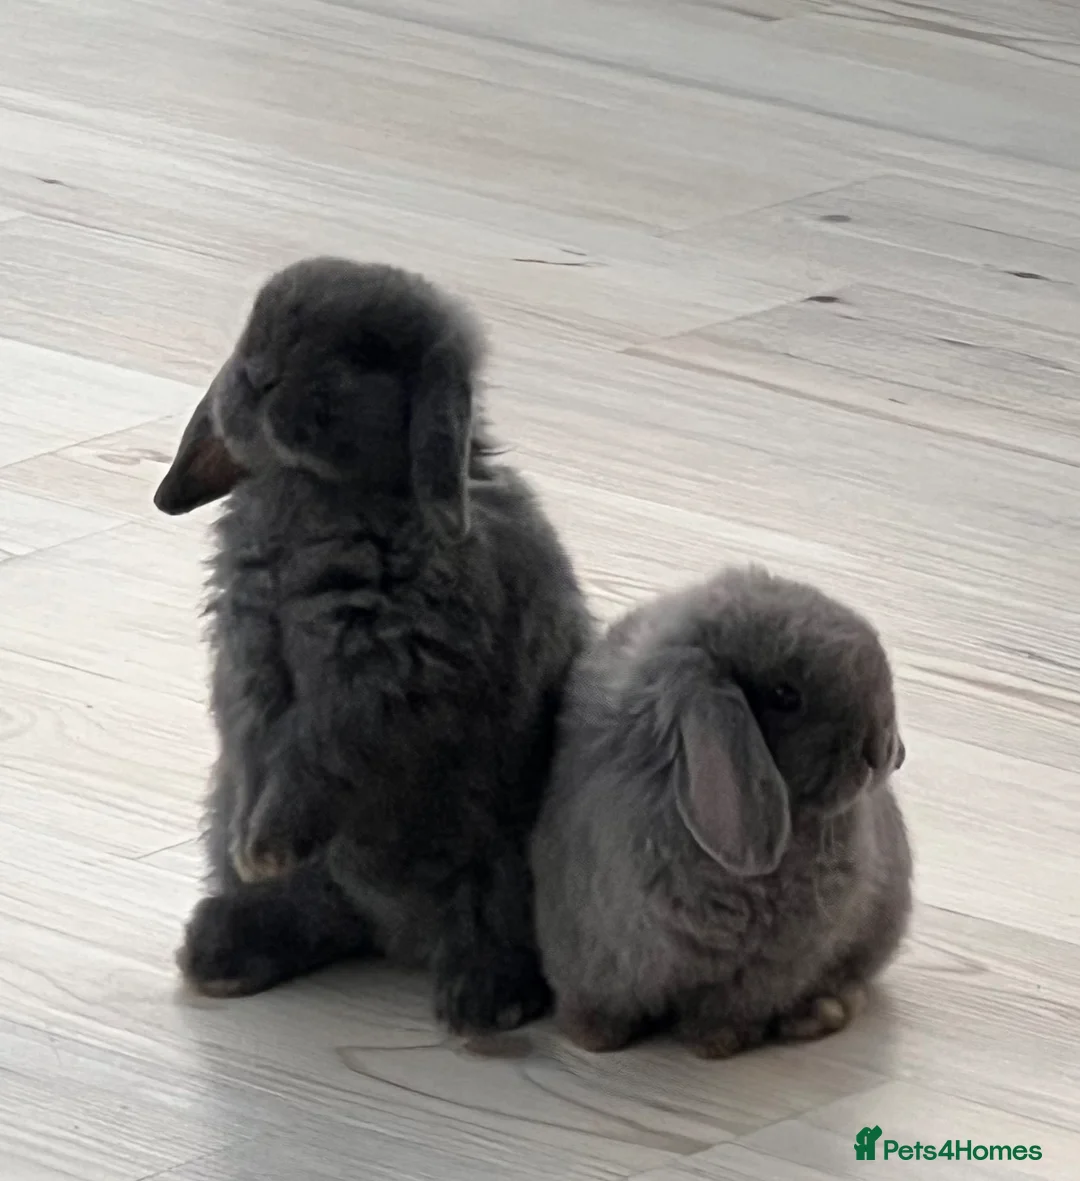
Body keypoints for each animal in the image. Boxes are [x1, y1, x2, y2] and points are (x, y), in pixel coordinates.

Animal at [153, 256, 592, 1034]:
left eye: (366, 353)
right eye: (252, 329)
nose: (257, 375)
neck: (315, 492)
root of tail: (398, 932)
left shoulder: (378, 679)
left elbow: (317, 757)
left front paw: (265, 847)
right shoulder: (249, 663)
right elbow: (255, 745)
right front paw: (251, 849)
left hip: (503, 860)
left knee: (489, 927)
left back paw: (486, 1001)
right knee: (324, 918)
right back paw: (221, 951)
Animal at [531, 564, 912, 1057]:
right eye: (785, 695)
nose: (883, 752)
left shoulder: (767, 968)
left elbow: (728, 1009)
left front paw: (716, 1044)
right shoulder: (593, 946)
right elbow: (596, 1000)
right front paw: (593, 1038)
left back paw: (820, 1013)